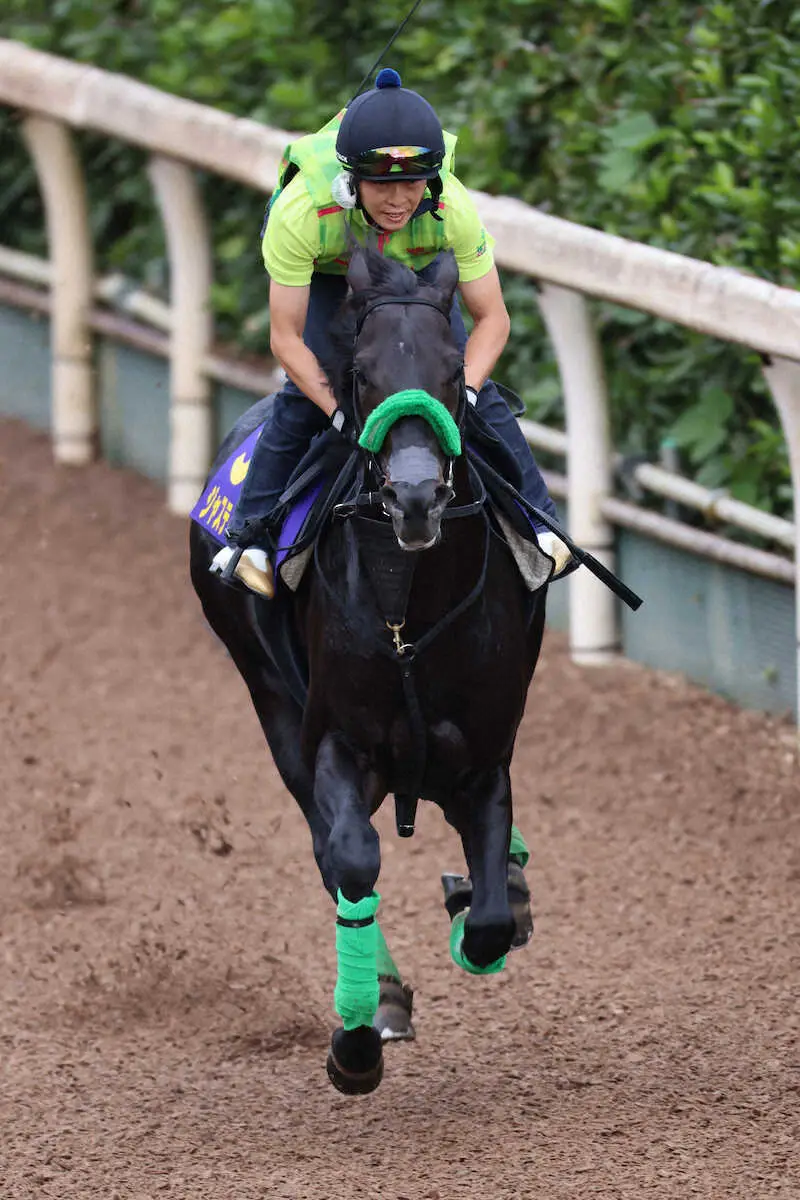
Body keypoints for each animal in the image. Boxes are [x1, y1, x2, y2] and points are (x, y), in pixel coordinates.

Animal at [189, 246, 551, 1099]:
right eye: (359, 372)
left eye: (455, 371)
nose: (415, 496)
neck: (406, 612)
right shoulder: (335, 741)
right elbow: (351, 859)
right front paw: (356, 1039)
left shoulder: (484, 754)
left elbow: (488, 918)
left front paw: (486, 899)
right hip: (268, 697)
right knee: (329, 851)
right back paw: (380, 995)